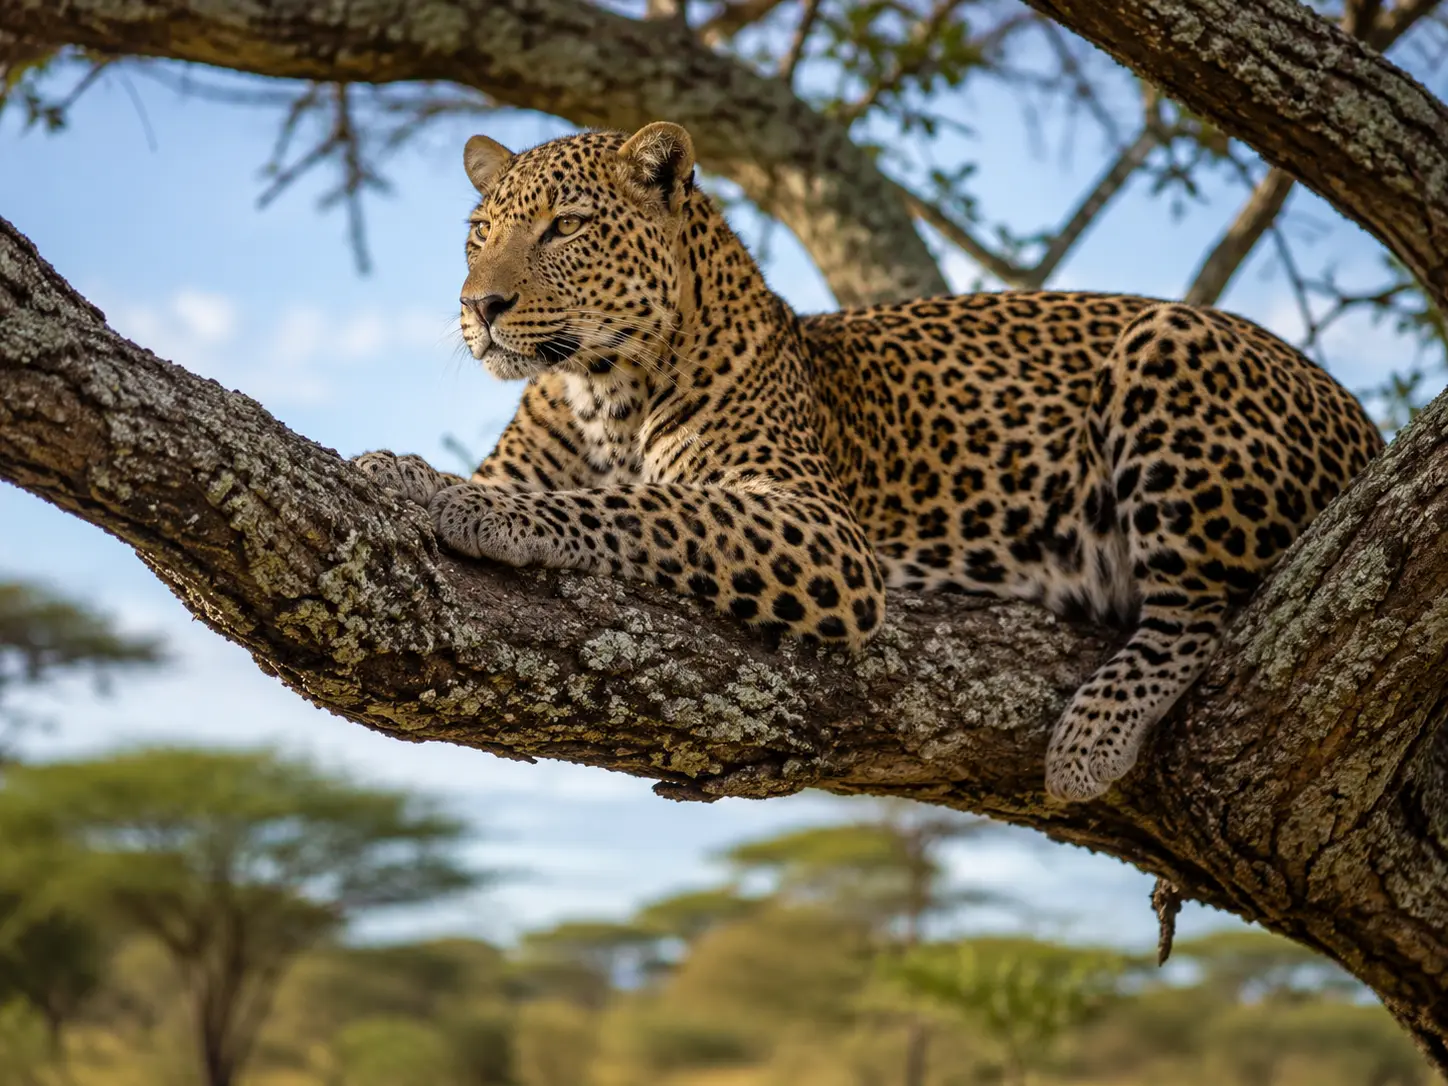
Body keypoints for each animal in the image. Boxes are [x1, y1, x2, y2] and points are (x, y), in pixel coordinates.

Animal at [354, 122, 1383, 803]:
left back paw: (1093, 734)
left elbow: (640, 509)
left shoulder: (819, 529)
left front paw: (470, 505)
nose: (478, 306)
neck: (598, 391)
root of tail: (1368, 424)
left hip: (1169, 341)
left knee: (1200, 611)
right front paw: (413, 472)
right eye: (477, 235)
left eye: (565, 227)